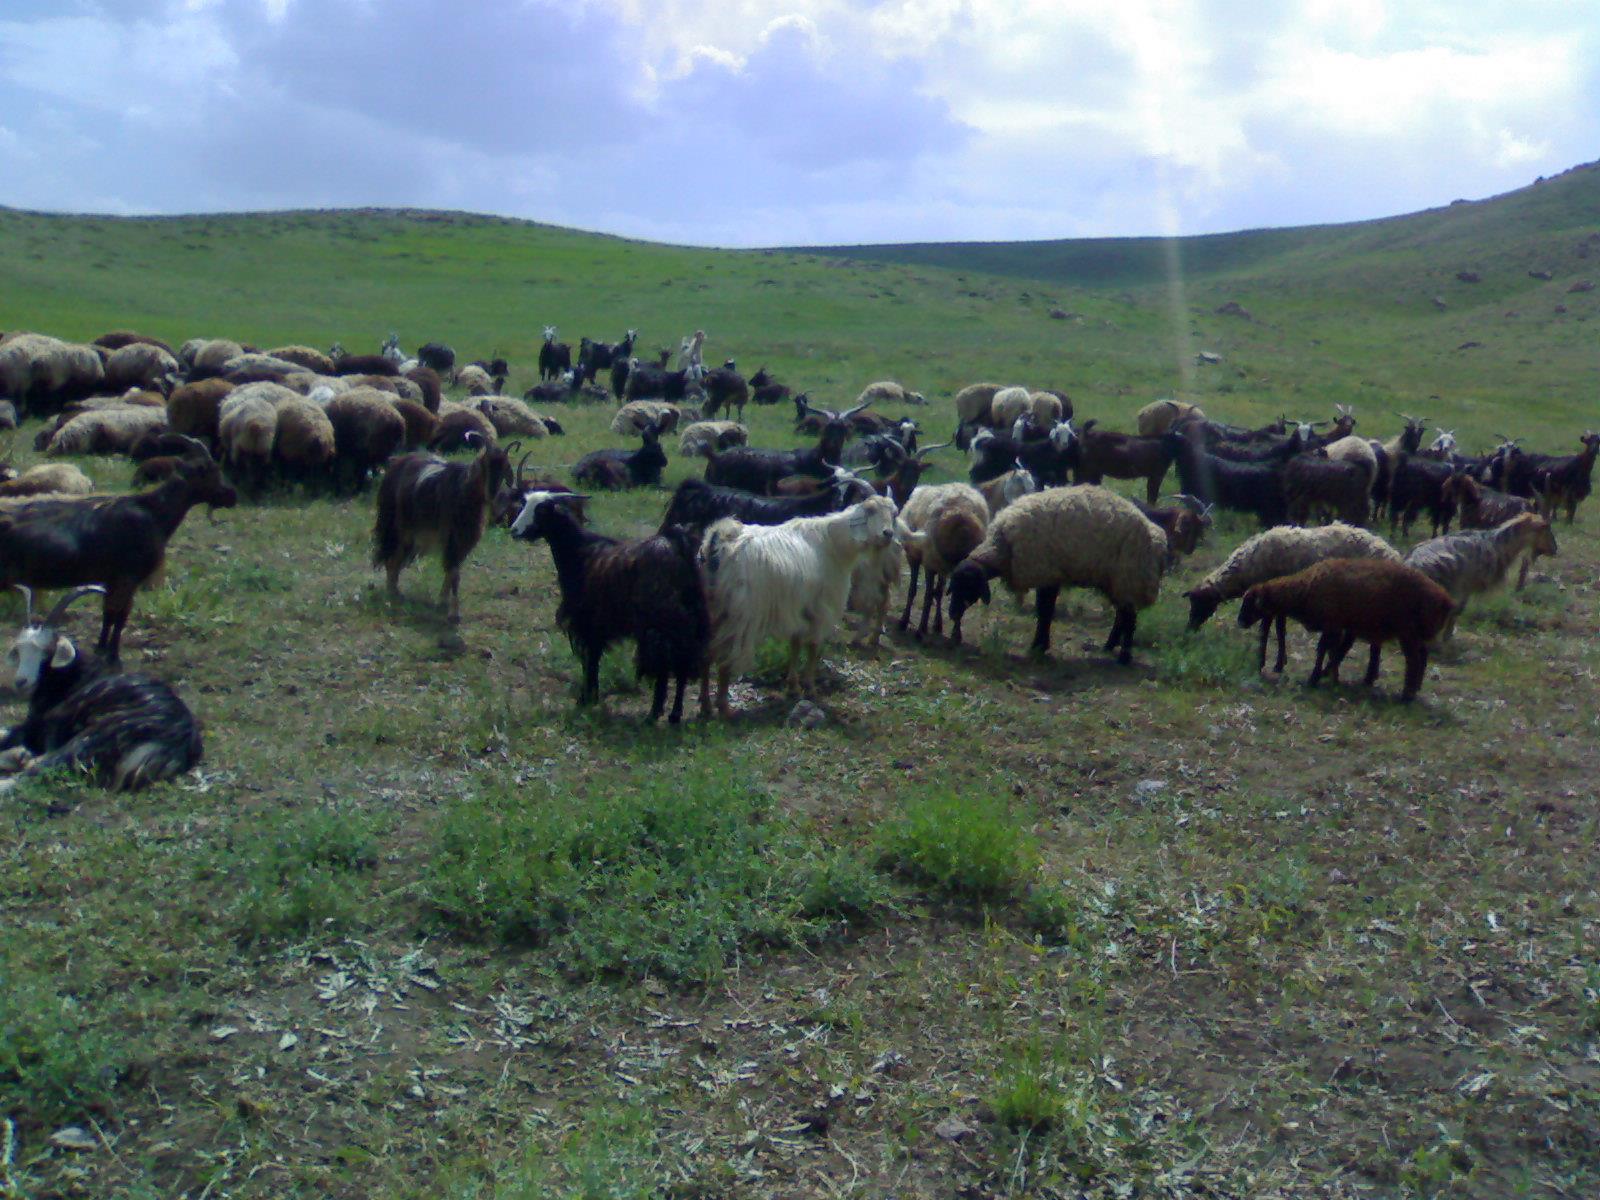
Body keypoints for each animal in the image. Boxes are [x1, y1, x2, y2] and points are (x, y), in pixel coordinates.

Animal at [512, 489, 707, 723]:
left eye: (541, 510)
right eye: (523, 504)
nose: (514, 530)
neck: (580, 552)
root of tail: (679, 546)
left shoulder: (587, 622)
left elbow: (590, 660)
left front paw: (585, 699)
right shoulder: (596, 626)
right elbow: (594, 658)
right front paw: (591, 697)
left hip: (661, 621)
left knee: (665, 664)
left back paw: (654, 714)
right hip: (690, 621)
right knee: (683, 662)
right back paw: (674, 715)